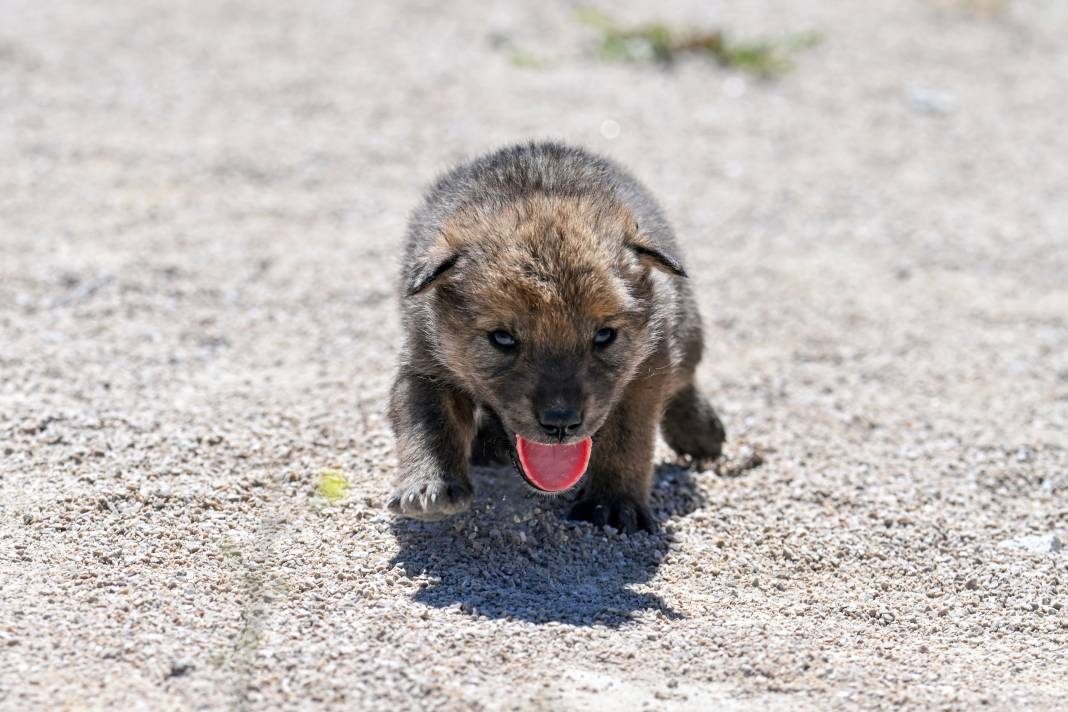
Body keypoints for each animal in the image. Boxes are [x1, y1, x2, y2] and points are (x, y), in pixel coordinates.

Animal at [384, 141, 726, 531]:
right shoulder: (424, 362)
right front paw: (429, 486)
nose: (560, 422)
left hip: (687, 330)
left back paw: (701, 429)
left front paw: (614, 503)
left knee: (685, 382)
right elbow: (429, 423)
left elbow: (627, 436)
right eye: (502, 338)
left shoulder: (648, 367)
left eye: (604, 335)